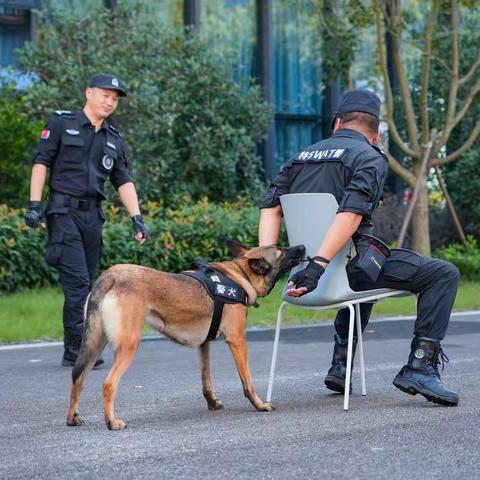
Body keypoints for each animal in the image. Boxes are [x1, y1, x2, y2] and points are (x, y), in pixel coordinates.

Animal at [65, 242, 306, 430]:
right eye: (281, 250)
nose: (303, 247)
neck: (240, 275)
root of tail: (108, 276)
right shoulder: (238, 340)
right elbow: (247, 381)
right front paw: (259, 404)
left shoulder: (204, 345)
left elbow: (206, 380)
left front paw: (212, 402)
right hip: (128, 345)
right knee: (108, 384)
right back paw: (111, 422)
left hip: (95, 345)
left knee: (78, 377)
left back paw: (72, 418)